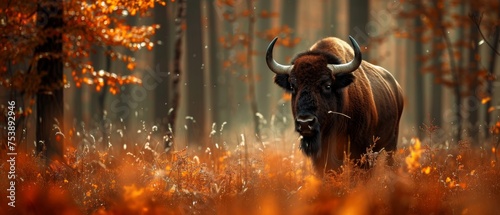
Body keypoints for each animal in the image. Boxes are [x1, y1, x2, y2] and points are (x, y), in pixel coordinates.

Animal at [266, 35, 402, 173]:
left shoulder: (361, 150)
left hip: (391, 146)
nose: (305, 123)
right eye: (293, 86)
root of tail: (397, 86)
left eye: (327, 85)